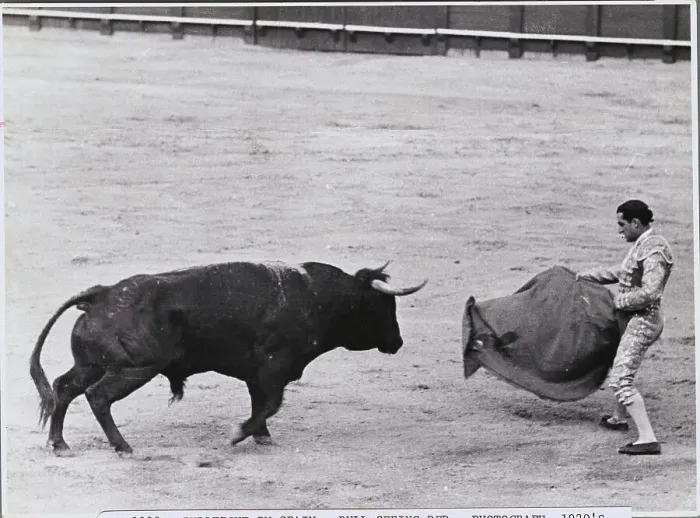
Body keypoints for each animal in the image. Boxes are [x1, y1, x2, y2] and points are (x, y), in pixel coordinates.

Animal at [29, 260, 427, 457]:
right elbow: (270, 404)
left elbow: (261, 404)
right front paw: (239, 434)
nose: (397, 342)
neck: (317, 297)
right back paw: (123, 447)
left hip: (91, 364)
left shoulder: (257, 373)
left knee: (64, 388)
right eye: (383, 305)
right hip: (135, 368)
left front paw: (261, 437)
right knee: (97, 397)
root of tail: (102, 294)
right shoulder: (274, 368)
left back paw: (60, 445)